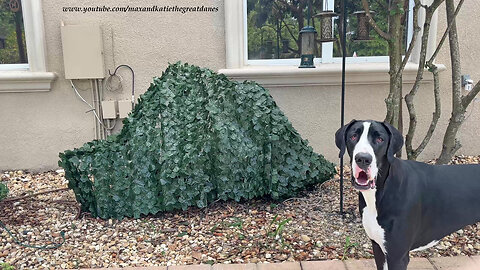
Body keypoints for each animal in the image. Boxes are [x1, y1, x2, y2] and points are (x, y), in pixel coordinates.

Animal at [336, 120, 480, 270]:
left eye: (380, 139)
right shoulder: (378, 248)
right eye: (353, 136)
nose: (363, 159)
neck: (382, 190)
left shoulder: (398, 257)